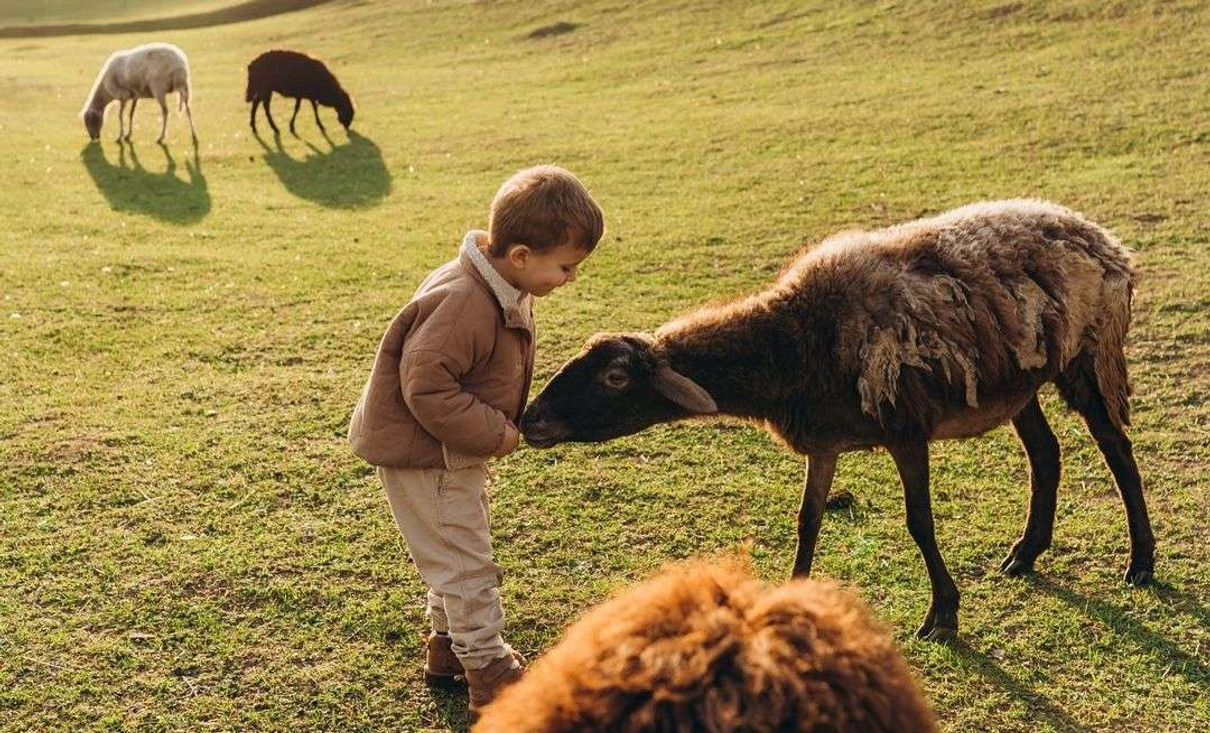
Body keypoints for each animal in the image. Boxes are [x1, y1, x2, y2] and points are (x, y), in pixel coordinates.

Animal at [522, 200, 1161, 643]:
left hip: (1086, 355)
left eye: (615, 377)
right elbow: (807, 521)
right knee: (1046, 454)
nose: (531, 419)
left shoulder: (906, 430)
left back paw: (1141, 562)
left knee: (1117, 449)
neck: (793, 343)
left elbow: (919, 523)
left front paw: (942, 615)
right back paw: (1025, 554)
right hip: (1019, 381)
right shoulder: (824, 442)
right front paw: (792, 598)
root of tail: (1101, 238)